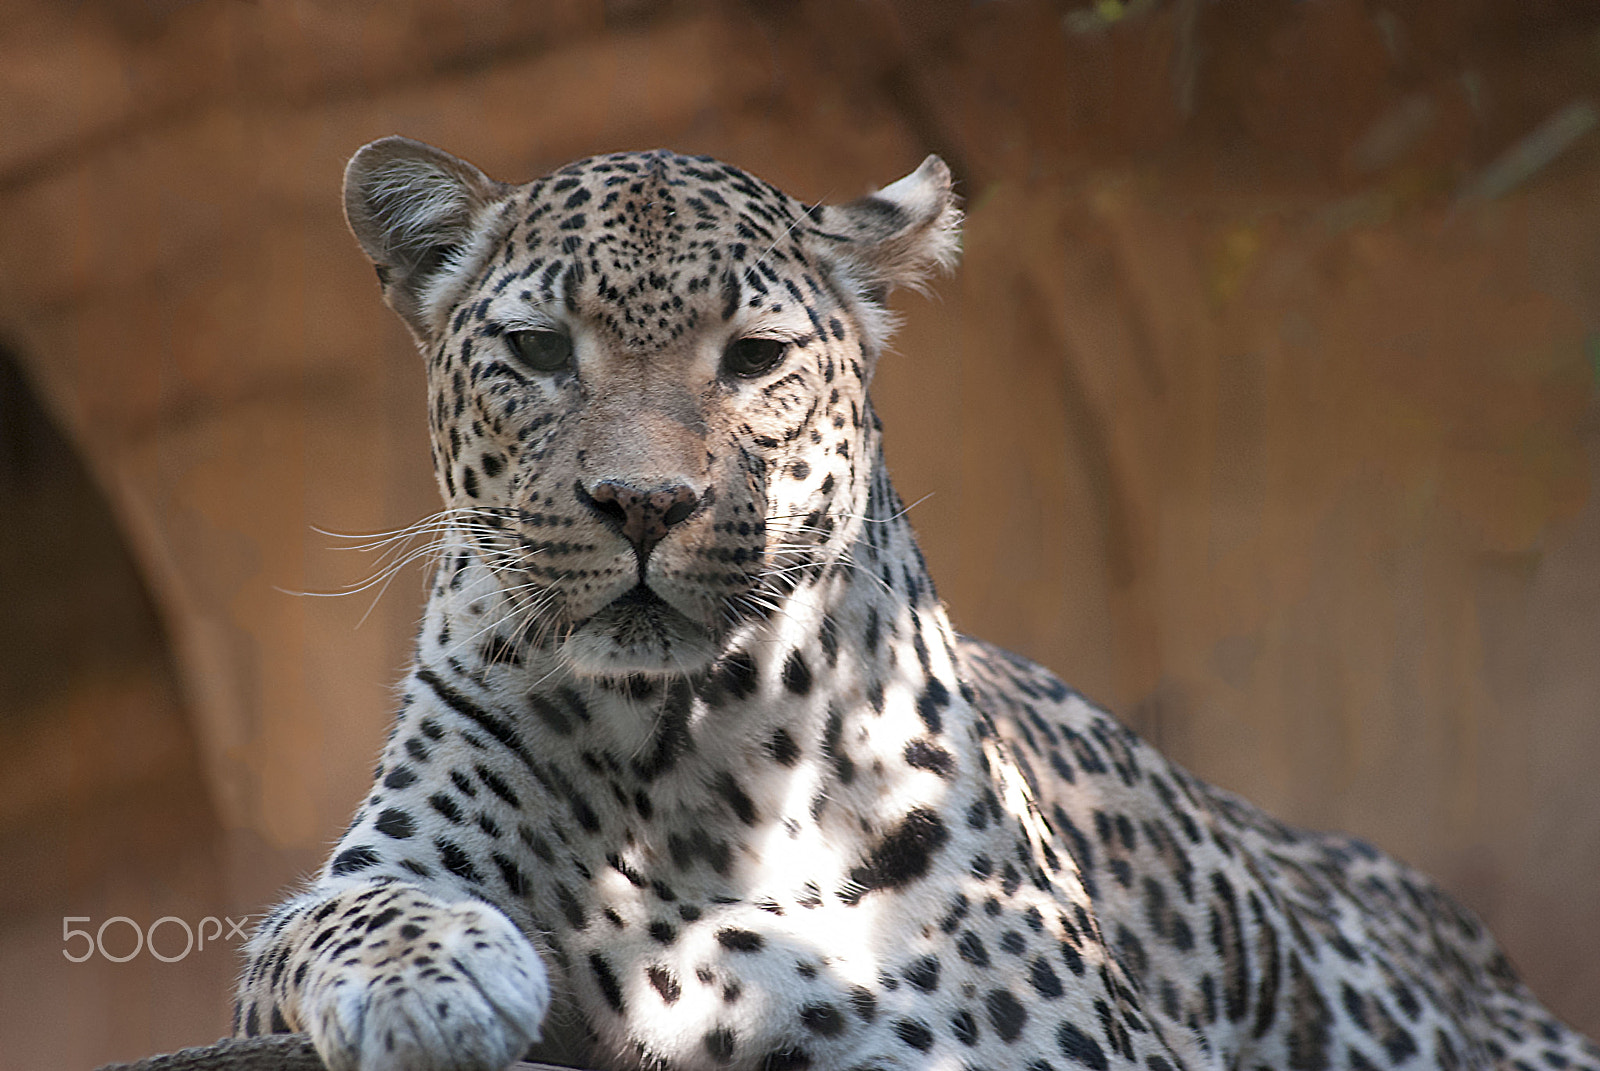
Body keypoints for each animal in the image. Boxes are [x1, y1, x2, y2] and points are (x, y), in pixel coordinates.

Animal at [236, 136, 1599, 1071]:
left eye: (754, 360)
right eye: (535, 352)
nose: (642, 503)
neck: (675, 749)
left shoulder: (1063, 1038)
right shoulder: (368, 876)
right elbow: (331, 914)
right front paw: (440, 982)